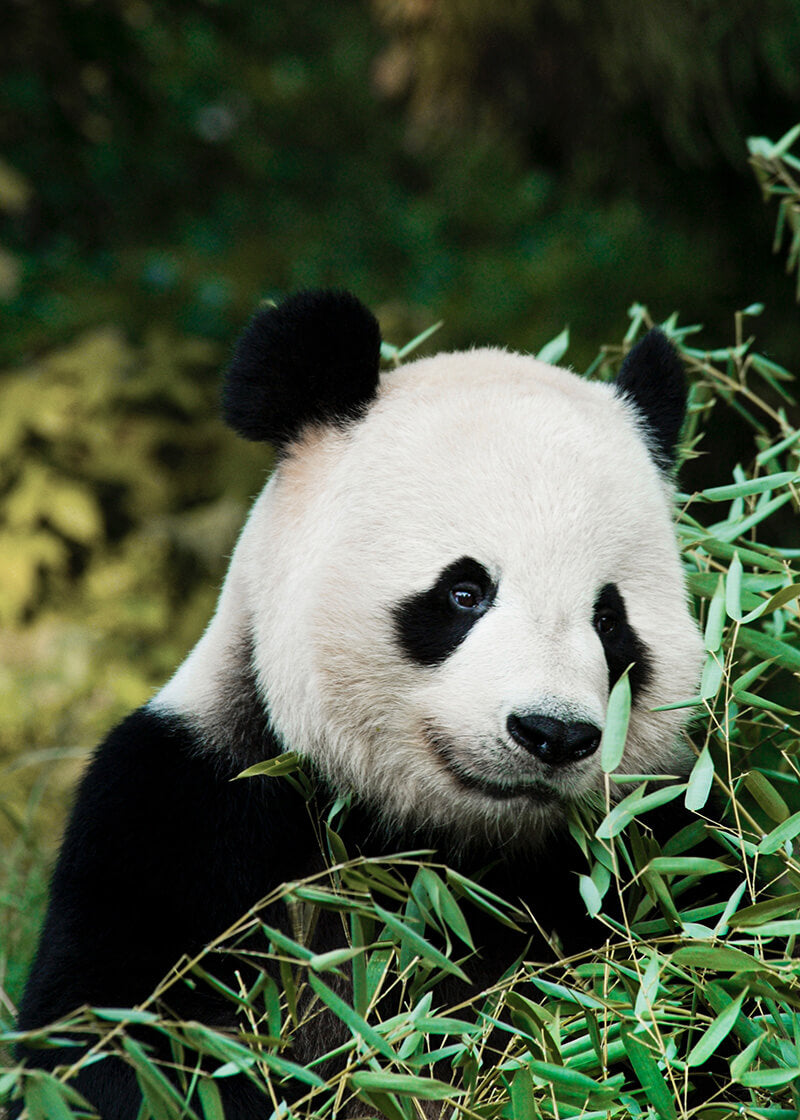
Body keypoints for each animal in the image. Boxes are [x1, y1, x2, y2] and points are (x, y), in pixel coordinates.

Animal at [15, 290, 703, 1118]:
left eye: (609, 620)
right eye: (464, 592)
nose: (552, 733)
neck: (440, 844)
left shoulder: (649, 847)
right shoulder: (186, 810)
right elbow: (122, 1045)